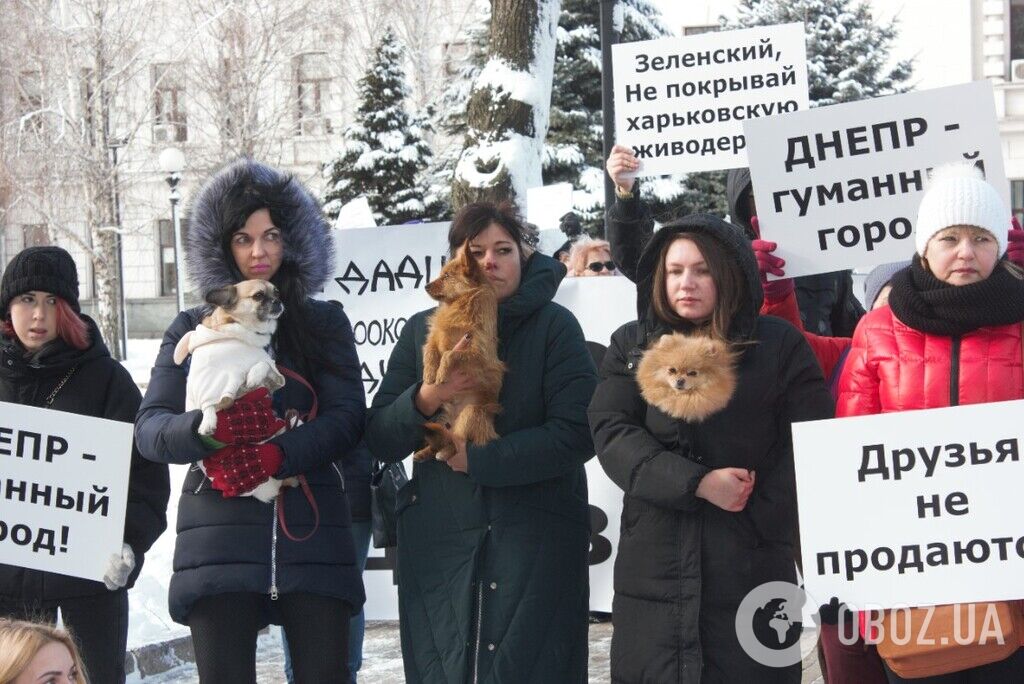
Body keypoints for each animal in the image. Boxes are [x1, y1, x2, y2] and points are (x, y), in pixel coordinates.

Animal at [174, 278, 294, 501]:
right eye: (258, 296)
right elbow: (209, 406)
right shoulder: (211, 386)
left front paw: (253, 376)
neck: (236, 329)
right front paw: (208, 423)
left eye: (277, 292)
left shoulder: (269, 374)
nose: (279, 301)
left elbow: (263, 364)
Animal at [413, 242, 505, 462]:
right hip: (441, 417)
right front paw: (430, 373)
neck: (459, 306)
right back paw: (423, 453)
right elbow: (430, 351)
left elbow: (450, 354)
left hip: (470, 414)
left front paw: (441, 372)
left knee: (456, 442)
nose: (425, 286)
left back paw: (445, 453)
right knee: (442, 439)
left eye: (447, 276)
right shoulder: (434, 337)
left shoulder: (479, 355)